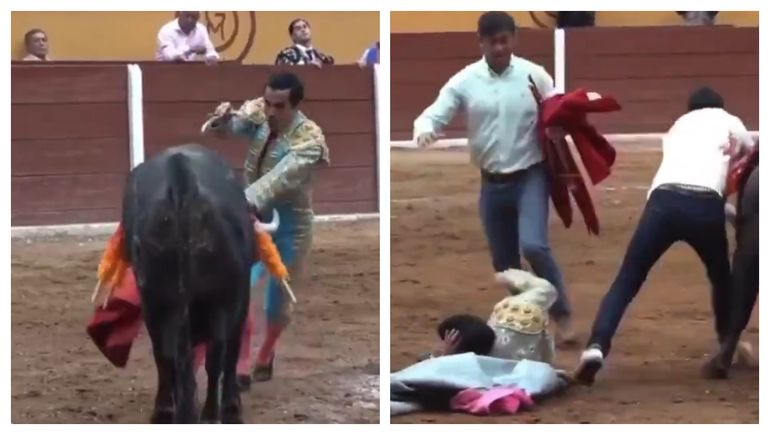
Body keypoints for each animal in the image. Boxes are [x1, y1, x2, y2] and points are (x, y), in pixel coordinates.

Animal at [121, 145, 255, 424]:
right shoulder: (236, 300)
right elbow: (228, 352)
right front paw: (231, 406)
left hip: (157, 301)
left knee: (169, 354)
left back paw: (174, 412)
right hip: (219, 299)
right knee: (214, 353)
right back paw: (205, 413)